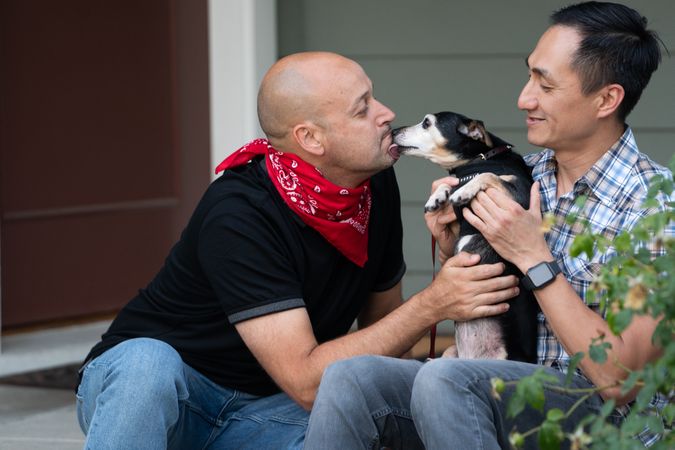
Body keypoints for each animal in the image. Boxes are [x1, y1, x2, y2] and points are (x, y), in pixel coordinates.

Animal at [390, 111, 540, 362]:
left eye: (427, 123)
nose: (392, 131)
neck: (480, 159)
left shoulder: (521, 198)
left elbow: (487, 175)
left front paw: (464, 191)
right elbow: (448, 186)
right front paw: (437, 197)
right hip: (450, 352)